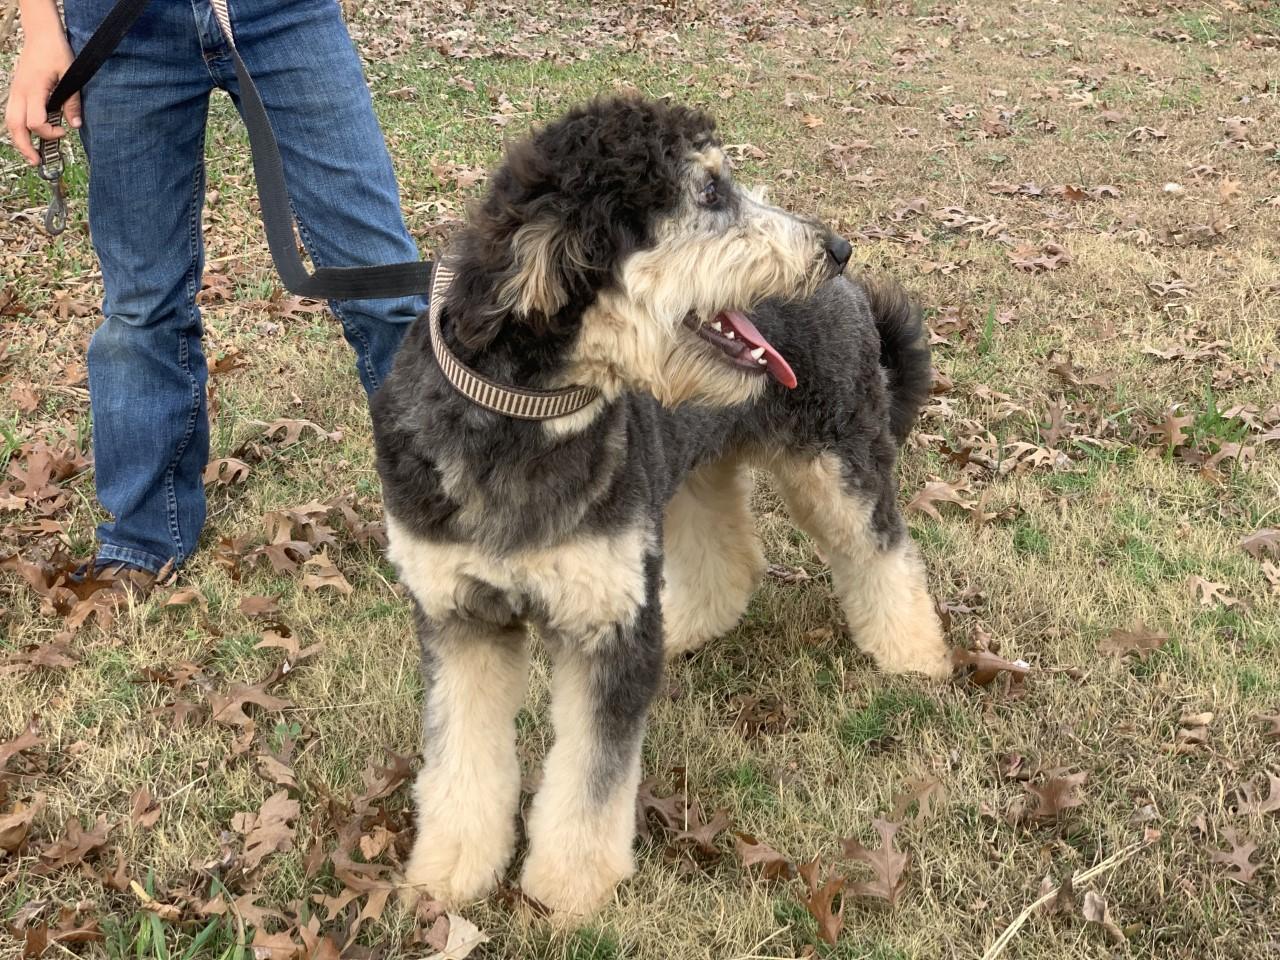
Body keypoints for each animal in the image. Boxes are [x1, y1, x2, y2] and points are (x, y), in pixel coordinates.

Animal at [370, 95, 952, 916]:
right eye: (709, 192)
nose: (836, 247)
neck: (526, 417)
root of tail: (852, 295)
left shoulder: (608, 626)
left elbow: (591, 779)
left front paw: (569, 888)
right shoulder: (462, 620)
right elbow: (460, 760)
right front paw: (449, 871)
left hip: (835, 462)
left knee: (884, 551)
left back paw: (914, 655)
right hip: (683, 470)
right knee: (730, 558)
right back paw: (687, 626)